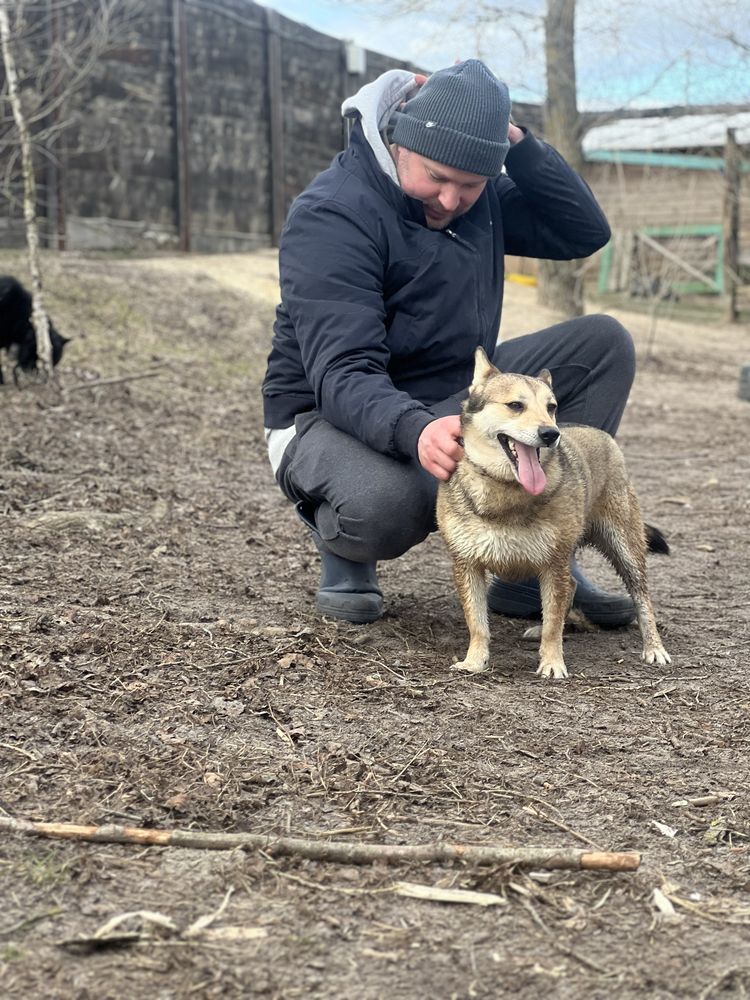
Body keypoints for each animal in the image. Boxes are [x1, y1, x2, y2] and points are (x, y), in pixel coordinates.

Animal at [438, 346, 672, 680]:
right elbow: (478, 624)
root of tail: (601, 434)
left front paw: (551, 662)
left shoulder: (553, 564)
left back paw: (653, 647)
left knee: (642, 598)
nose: (551, 433)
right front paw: (474, 661)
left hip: (624, 547)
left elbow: (553, 624)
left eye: (552, 407)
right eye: (515, 405)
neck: (507, 491)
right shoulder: (467, 564)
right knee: (569, 592)